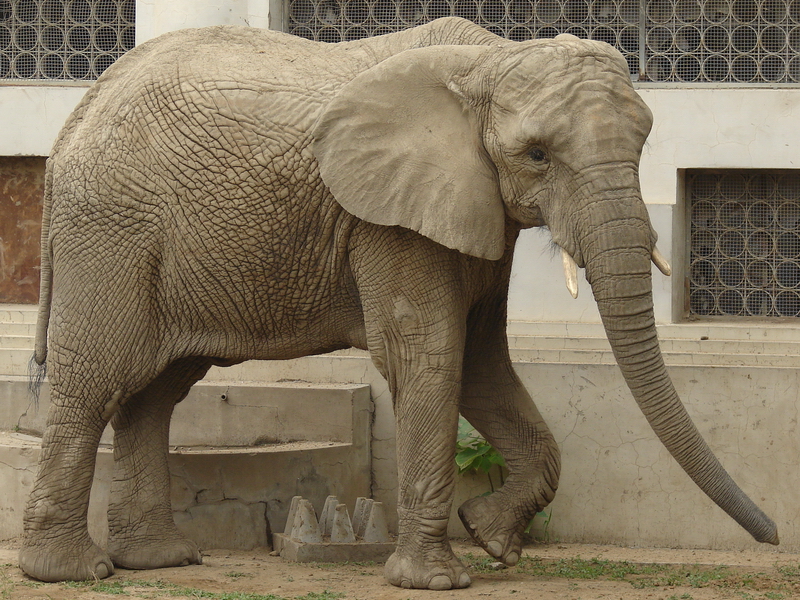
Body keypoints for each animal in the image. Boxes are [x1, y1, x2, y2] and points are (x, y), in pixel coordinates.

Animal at [20, 16, 777, 590]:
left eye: (644, 143)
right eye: (537, 155)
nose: (772, 534)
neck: (487, 62)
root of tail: (75, 118)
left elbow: (483, 364)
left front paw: (493, 538)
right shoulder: (387, 219)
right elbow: (430, 357)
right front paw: (438, 580)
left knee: (155, 393)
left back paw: (159, 561)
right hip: (112, 230)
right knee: (97, 382)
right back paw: (71, 573)